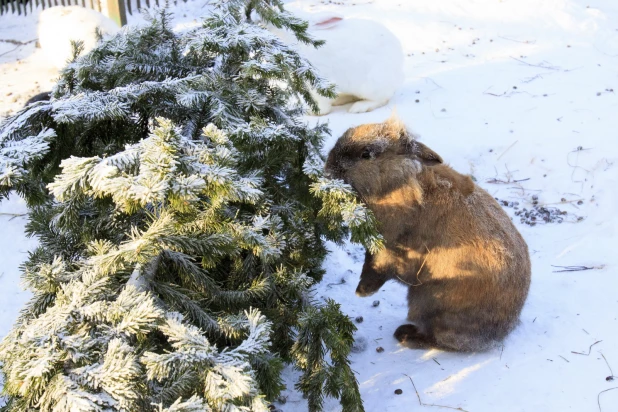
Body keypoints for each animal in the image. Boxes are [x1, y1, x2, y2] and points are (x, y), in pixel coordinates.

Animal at [264, 10, 404, 116]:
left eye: (287, 17)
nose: (266, 20)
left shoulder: (319, 80)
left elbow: (321, 103)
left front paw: (313, 112)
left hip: (372, 85)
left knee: (382, 99)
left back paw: (359, 107)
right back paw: (338, 100)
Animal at [322, 116, 528, 350]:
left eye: (366, 154)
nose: (328, 168)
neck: (401, 183)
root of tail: (501, 331)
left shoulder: (389, 250)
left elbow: (376, 268)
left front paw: (362, 291)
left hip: (429, 302)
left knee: (437, 337)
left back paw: (405, 335)